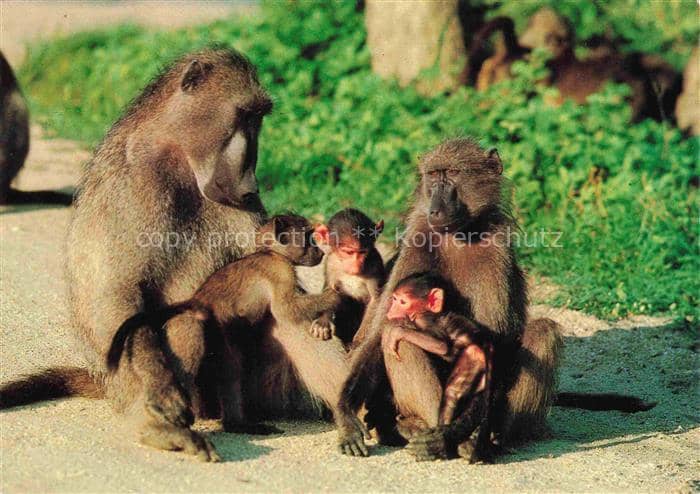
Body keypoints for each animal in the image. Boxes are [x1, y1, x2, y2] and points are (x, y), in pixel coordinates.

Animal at [106, 214, 340, 435]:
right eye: (309, 237)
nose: (320, 253)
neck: (269, 252)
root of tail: (198, 301)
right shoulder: (280, 270)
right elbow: (286, 310)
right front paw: (334, 296)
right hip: (217, 330)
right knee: (216, 356)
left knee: (231, 372)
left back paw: (236, 424)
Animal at [310, 208, 386, 346]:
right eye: (348, 252)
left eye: (362, 252)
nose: (356, 266)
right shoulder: (331, 263)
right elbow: (331, 291)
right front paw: (322, 323)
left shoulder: (374, 264)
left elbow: (375, 299)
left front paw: (359, 340)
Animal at [336, 138, 656, 461]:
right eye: (433, 175)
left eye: (452, 173)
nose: (436, 210)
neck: (459, 235)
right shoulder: (417, 239)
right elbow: (379, 332)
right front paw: (346, 416)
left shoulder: (495, 250)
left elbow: (491, 343)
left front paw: (451, 437)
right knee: (397, 334)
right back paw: (416, 428)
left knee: (543, 331)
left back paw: (483, 438)